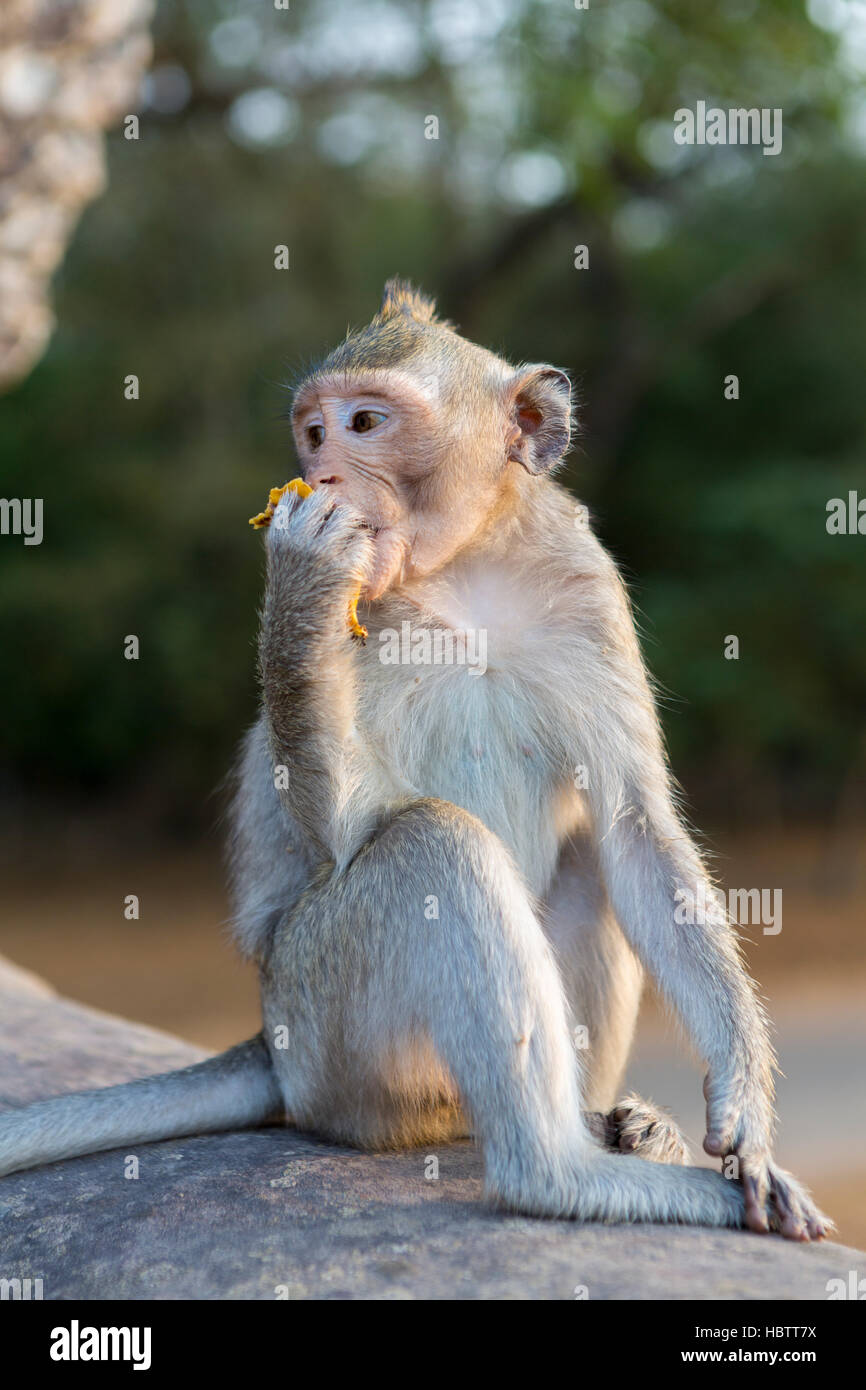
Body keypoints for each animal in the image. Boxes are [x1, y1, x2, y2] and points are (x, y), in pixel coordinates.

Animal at [0, 282, 828, 1239]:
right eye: (313, 433)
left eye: (364, 422)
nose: (321, 476)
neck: (462, 571)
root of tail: (269, 1040)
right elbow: (354, 825)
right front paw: (303, 568)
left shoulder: (586, 585)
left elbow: (632, 825)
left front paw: (745, 1109)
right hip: (324, 1023)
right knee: (433, 842)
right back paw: (558, 1173)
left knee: (586, 850)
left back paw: (609, 1126)